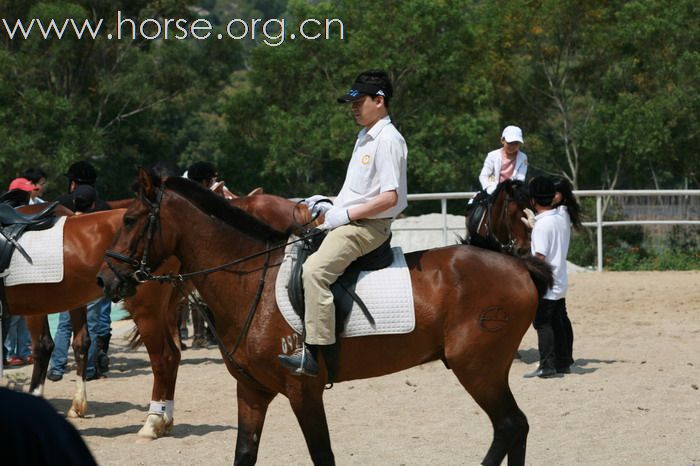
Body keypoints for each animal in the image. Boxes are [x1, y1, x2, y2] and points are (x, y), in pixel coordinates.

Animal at [98, 169, 552, 464]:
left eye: (130, 219)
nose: (105, 279)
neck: (251, 282)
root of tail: (515, 263)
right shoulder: (251, 391)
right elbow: (245, 453)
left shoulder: (304, 391)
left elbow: (322, 455)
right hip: (484, 369)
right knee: (516, 426)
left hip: (477, 367)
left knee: (509, 425)